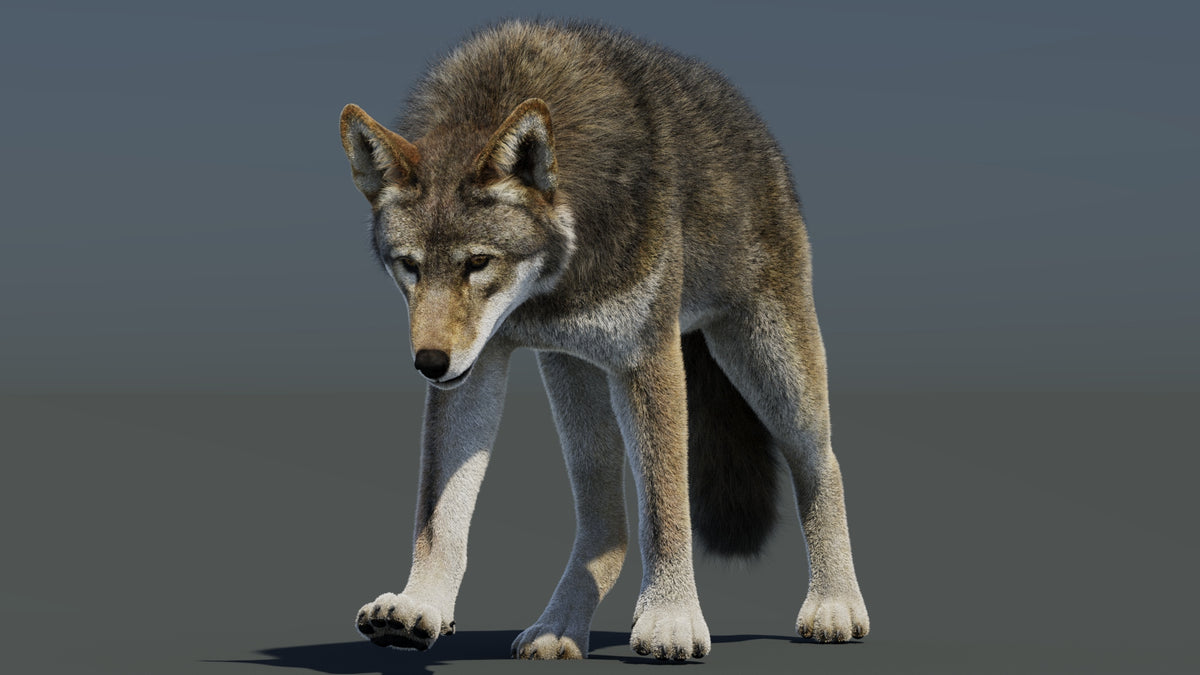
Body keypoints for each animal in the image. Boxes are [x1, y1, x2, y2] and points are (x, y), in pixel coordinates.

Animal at [338, 20, 868, 661]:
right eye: (410, 267)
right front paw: (419, 606)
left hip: (766, 363)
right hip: (574, 376)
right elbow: (439, 516)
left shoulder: (648, 357)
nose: (429, 363)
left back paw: (835, 605)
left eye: (478, 263)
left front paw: (670, 619)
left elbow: (666, 508)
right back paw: (559, 626)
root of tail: (756, 129)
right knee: (607, 527)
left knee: (823, 463)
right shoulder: (478, 367)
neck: (555, 284)